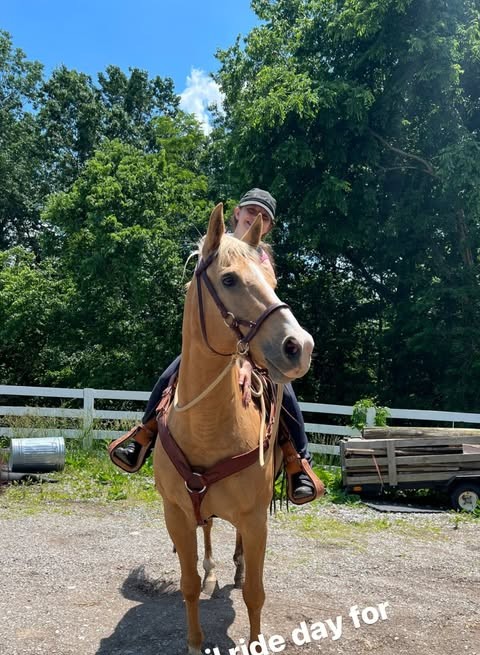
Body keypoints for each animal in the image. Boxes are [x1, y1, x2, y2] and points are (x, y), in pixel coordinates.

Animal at [153, 203, 314, 654]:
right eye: (229, 279)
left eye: (272, 282)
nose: (300, 346)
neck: (209, 427)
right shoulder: (175, 513)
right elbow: (188, 583)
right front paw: (194, 641)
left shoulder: (257, 519)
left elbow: (255, 594)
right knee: (207, 531)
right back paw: (212, 571)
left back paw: (237, 567)